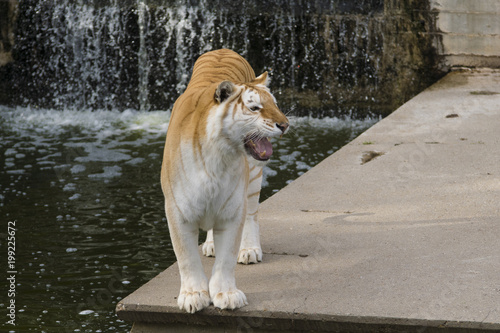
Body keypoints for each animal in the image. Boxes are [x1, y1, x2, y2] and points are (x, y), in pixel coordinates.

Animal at [160, 48, 290, 312]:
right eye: (255, 108)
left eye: (275, 105)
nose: (285, 125)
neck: (218, 155)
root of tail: (223, 49)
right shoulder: (178, 210)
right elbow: (186, 257)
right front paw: (193, 295)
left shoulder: (233, 208)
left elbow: (227, 258)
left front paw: (226, 294)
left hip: (253, 177)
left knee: (252, 215)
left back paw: (249, 249)